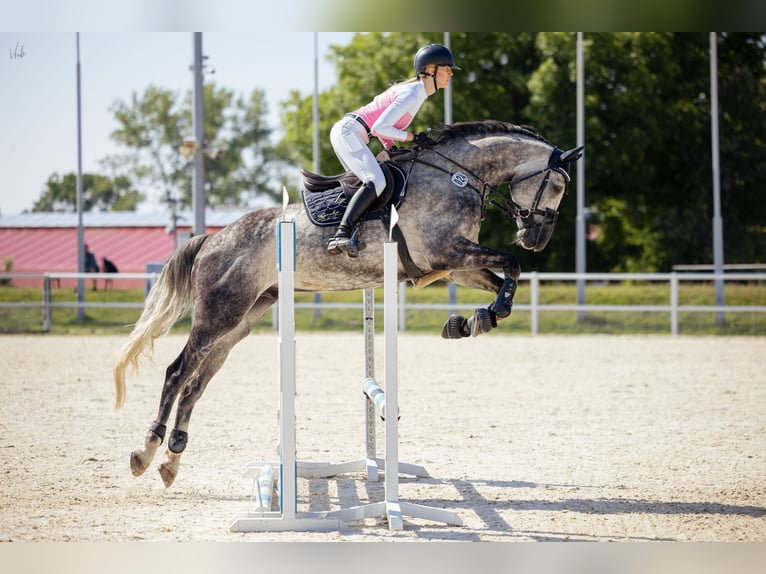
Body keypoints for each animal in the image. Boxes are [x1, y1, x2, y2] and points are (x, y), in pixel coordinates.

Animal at [113, 120, 583, 487]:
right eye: (559, 184)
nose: (536, 239)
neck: (457, 176)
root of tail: (212, 238)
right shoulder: (447, 252)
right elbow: (511, 264)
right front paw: (485, 315)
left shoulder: (453, 267)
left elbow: (505, 276)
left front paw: (472, 321)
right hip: (219, 314)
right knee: (178, 372)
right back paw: (146, 451)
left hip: (242, 320)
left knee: (197, 382)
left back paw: (172, 460)